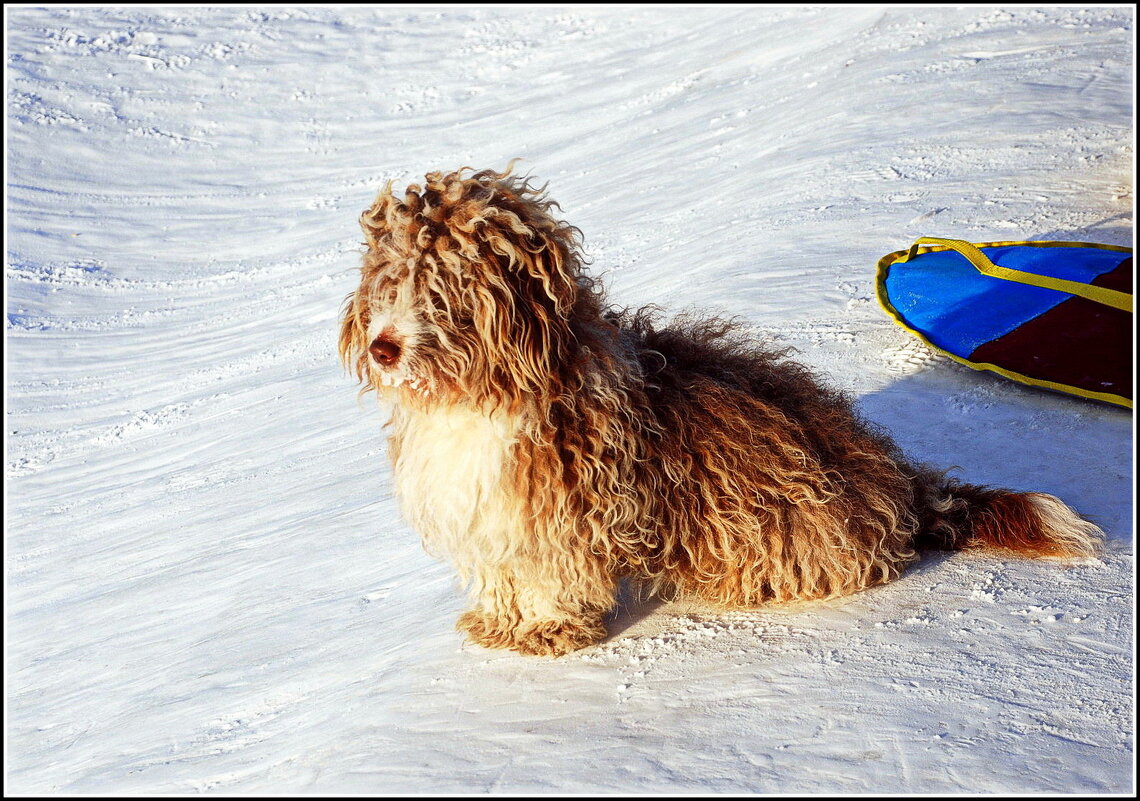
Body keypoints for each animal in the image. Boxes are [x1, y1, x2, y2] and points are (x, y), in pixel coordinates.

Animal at [337, 167, 1103, 656]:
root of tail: (899, 487)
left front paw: (546, 632)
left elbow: (551, 579)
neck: (477, 397)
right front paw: (500, 624)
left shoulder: (556, 516)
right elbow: (502, 576)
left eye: (444, 290)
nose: (383, 347)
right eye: (389, 281)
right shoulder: (488, 514)